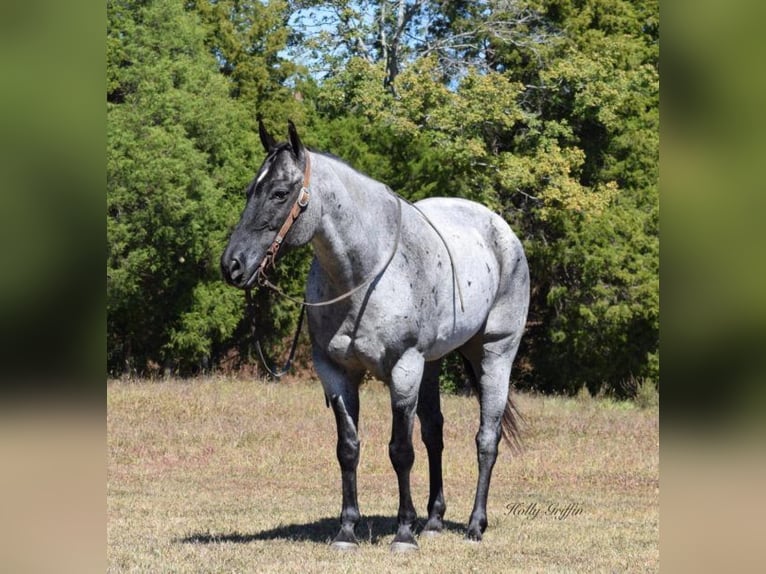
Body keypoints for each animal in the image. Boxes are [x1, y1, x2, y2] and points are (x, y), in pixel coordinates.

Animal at [222, 121, 532, 552]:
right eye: (251, 190)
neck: (363, 274)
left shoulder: (403, 369)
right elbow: (348, 449)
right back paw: (433, 520)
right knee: (434, 433)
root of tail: (502, 231)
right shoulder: (336, 373)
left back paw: (474, 525)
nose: (232, 265)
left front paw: (403, 533)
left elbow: (401, 450)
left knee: (486, 438)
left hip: (494, 354)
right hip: (432, 364)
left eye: (280, 193)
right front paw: (347, 530)